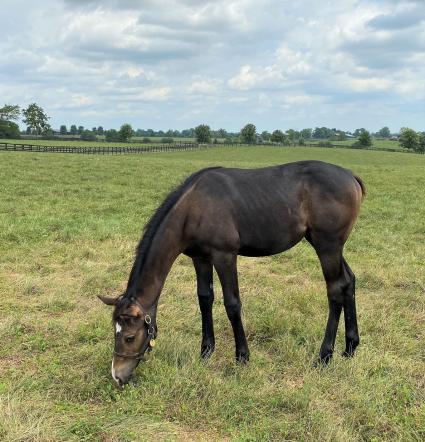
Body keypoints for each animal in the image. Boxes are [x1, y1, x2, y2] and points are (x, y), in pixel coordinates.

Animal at [98, 161, 364, 386]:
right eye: (114, 333)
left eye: (129, 337)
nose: (118, 376)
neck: (194, 207)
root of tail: (351, 176)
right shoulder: (201, 258)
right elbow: (205, 299)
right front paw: (206, 351)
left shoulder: (224, 256)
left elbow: (232, 304)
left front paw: (242, 357)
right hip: (329, 246)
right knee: (348, 282)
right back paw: (350, 347)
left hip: (327, 246)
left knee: (335, 291)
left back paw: (325, 356)